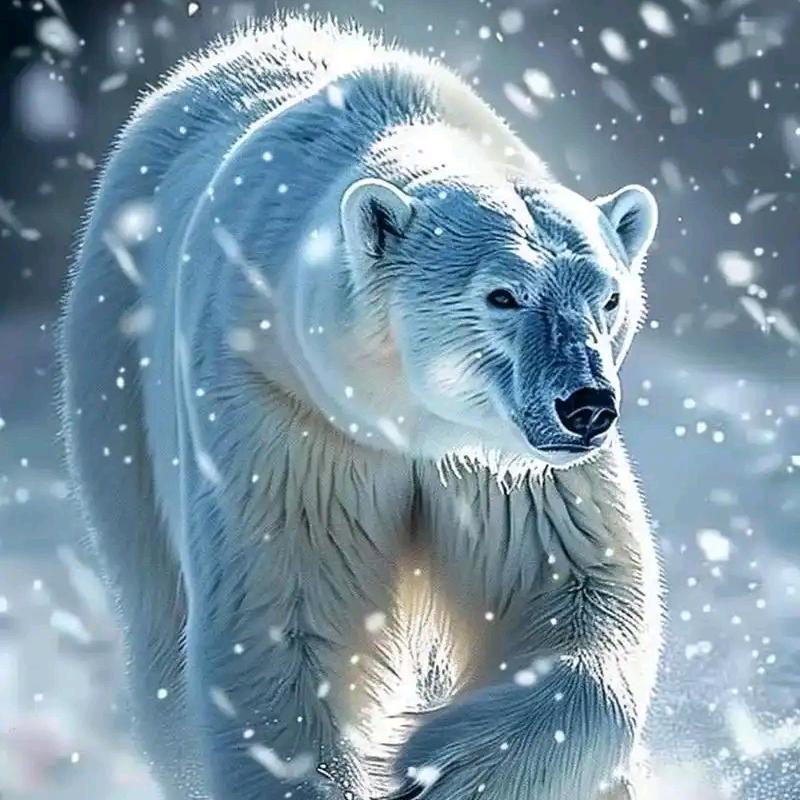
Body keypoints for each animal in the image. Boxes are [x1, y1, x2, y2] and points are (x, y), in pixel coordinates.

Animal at [59, 13, 662, 800]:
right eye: (503, 295)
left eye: (609, 296)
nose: (586, 405)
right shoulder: (287, 415)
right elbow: (288, 618)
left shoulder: (506, 467)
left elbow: (574, 592)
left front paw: (432, 764)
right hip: (116, 368)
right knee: (157, 603)